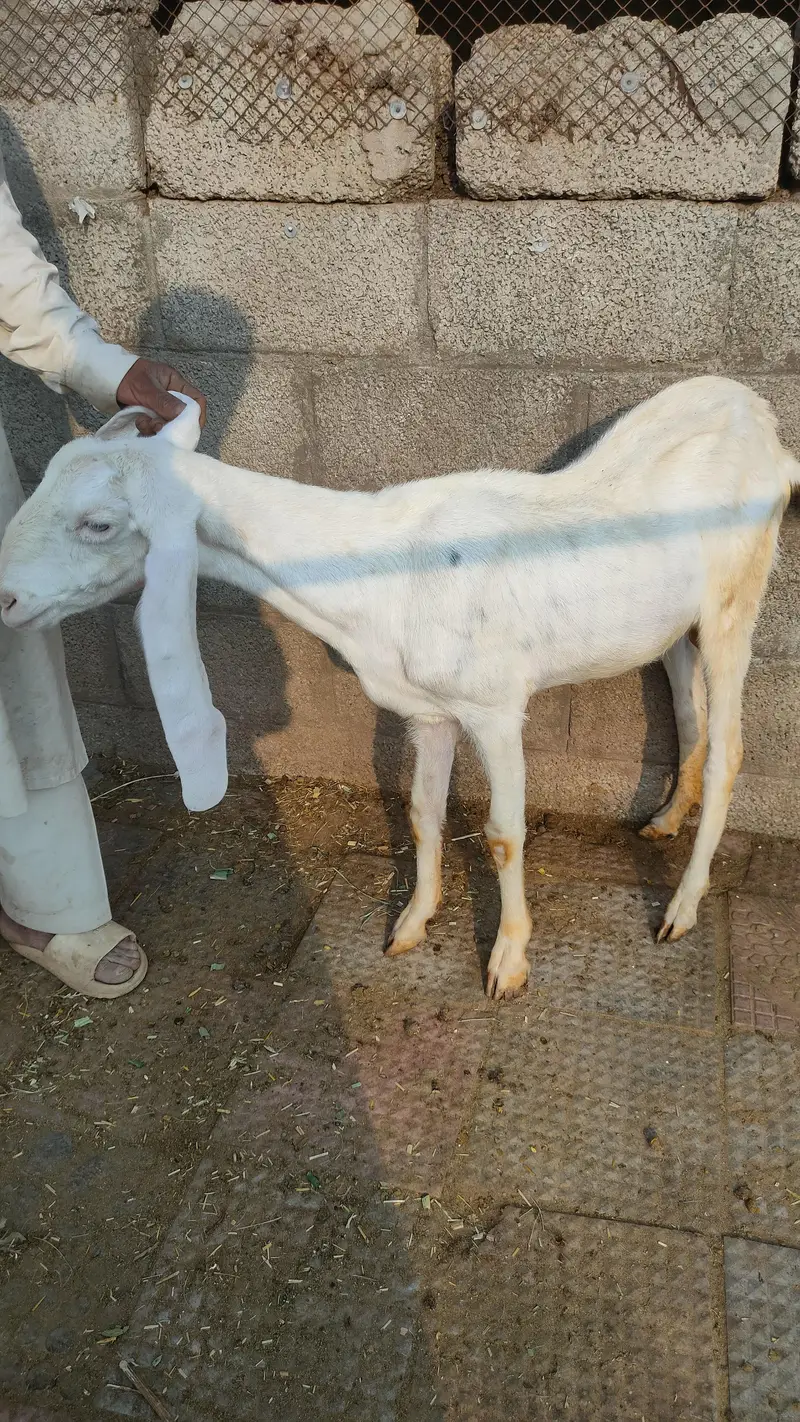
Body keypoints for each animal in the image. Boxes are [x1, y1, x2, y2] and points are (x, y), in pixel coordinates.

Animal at [0, 376, 797, 999]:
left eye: (98, 524)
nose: (5, 597)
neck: (378, 577)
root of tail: (763, 422)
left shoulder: (495, 705)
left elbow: (504, 833)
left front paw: (508, 963)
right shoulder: (428, 711)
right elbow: (420, 813)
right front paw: (411, 924)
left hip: (737, 598)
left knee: (732, 749)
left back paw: (681, 909)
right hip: (676, 625)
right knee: (689, 712)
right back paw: (663, 819)